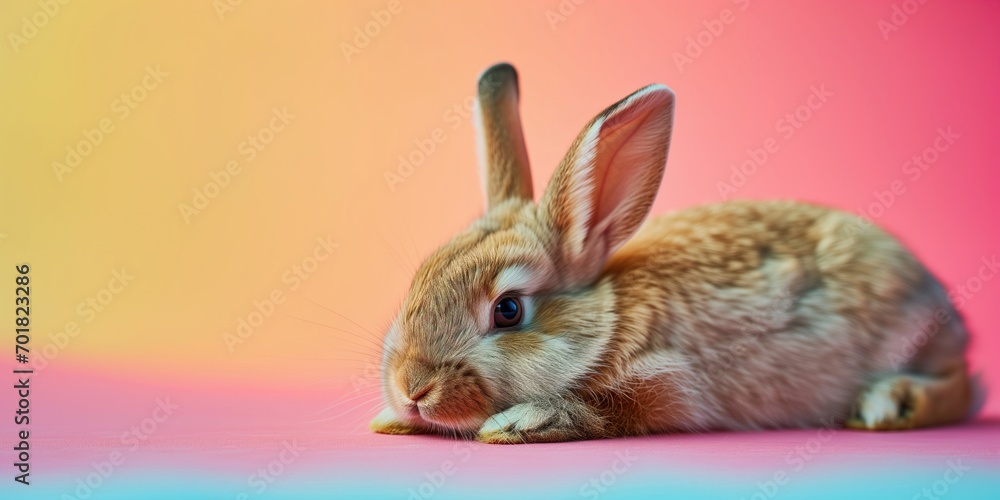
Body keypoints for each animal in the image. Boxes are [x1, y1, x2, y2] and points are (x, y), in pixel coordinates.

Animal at [370, 62, 975, 443]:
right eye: (419, 279)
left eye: (509, 310)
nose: (412, 389)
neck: (609, 319)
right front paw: (390, 420)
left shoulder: (663, 383)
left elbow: (605, 410)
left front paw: (519, 424)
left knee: (966, 387)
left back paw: (888, 404)